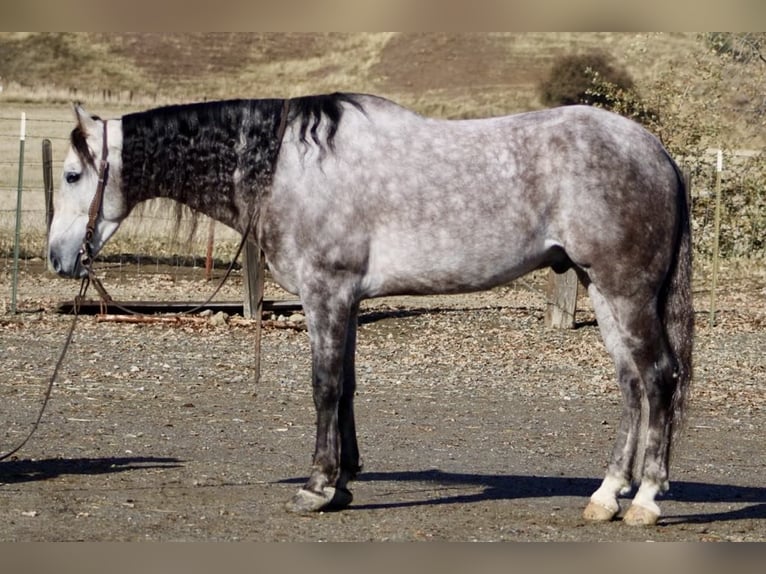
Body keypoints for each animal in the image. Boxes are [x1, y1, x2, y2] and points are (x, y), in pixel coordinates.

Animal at [48, 93, 696, 528]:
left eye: (74, 174)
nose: (58, 257)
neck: (288, 168)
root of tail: (657, 152)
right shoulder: (347, 301)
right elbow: (348, 387)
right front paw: (343, 483)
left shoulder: (326, 295)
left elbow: (324, 387)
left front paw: (316, 486)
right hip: (601, 291)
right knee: (631, 384)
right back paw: (606, 496)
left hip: (625, 292)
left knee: (658, 377)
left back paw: (645, 500)